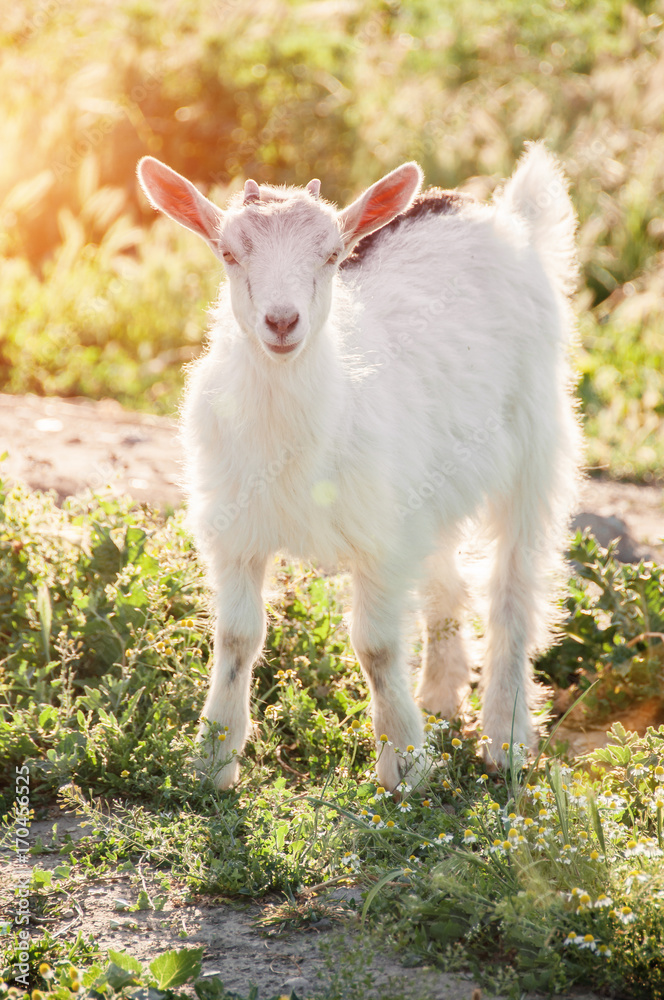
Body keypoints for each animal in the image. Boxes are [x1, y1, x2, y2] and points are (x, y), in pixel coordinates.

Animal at [137, 143, 581, 791]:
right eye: (229, 252)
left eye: (331, 254)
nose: (281, 322)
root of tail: (500, 213)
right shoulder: (236, 532)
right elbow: (238, 636)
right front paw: (213, 760)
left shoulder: (380, 541)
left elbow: (375, 646)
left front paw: (404, 765)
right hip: (430, 485)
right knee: (448, 583)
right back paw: (442, 697)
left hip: (535, 446)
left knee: (512, 591)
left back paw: (507, 738)